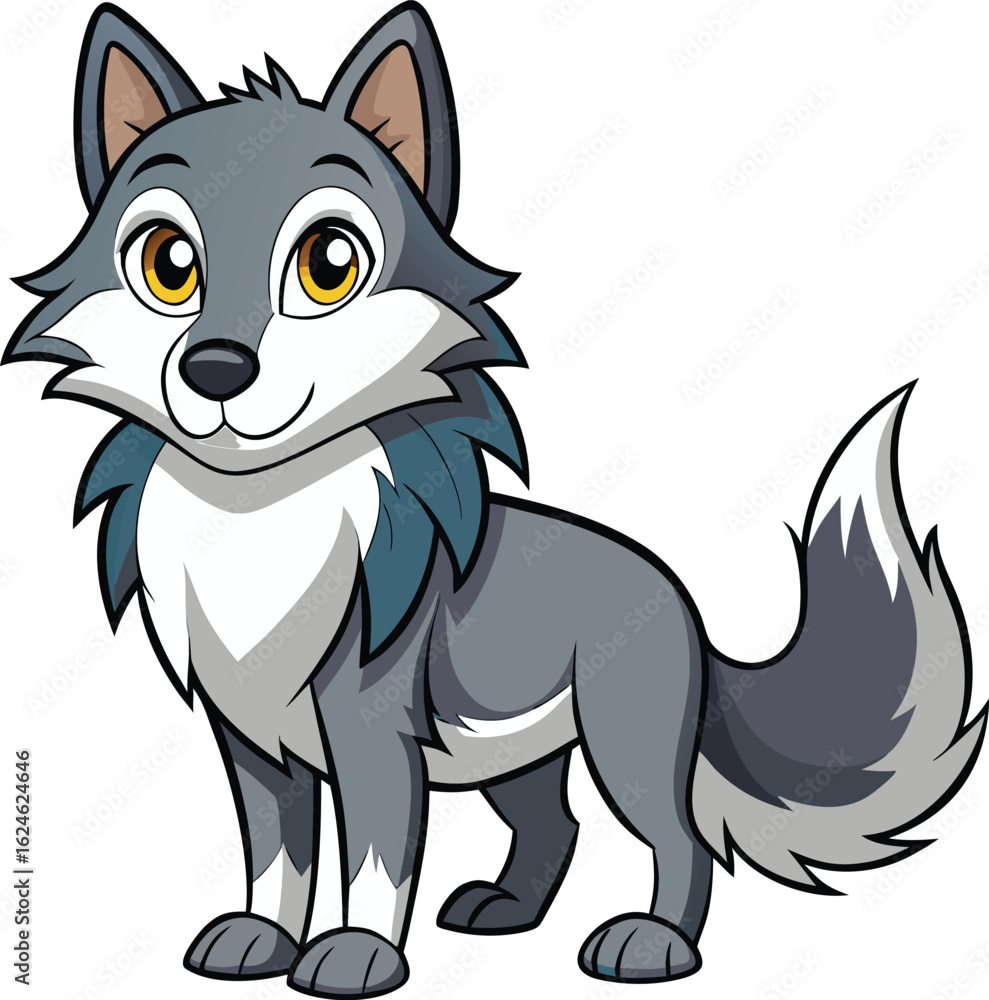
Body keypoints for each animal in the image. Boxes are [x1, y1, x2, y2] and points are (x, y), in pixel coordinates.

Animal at [5, 2, 985, 995]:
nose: (215, 370)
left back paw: (651, 946)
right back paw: (508, 912)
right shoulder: (251, 739)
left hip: (622, 747)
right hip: (515, 757)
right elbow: (277, 854)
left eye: (328, 263)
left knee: (679, 839)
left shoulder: (370, 732)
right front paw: (259, 943)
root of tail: (678, 598)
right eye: (168, 264)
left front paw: (355, 959)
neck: (259, 522)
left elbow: (374, 860)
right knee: (558, 823)